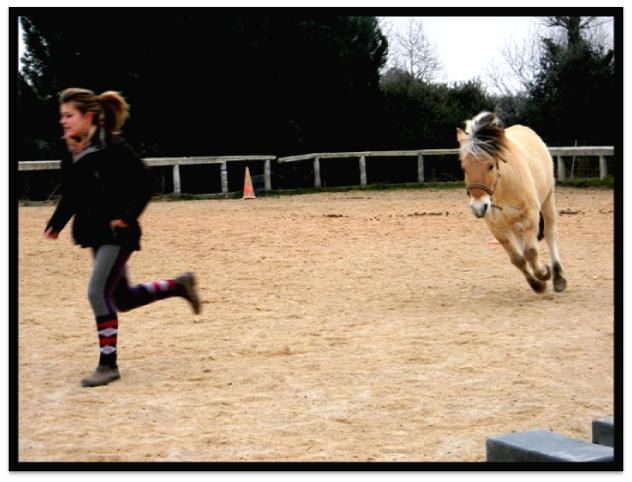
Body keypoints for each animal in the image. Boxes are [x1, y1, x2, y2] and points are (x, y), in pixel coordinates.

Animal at [456, 111, 567, 293]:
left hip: (548, 200)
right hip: (513, 223)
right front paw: (537, 284)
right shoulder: (497, 227)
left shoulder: (530, 216)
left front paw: (544, 273)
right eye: (464, 168)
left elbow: (530, 252)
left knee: (550, 234)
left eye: (491, 166)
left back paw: (558, 278)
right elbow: (518, 259)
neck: (503, 187)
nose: (479, 208)